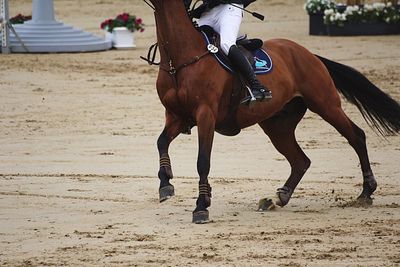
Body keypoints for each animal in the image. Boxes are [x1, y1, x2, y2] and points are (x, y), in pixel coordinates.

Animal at [148, 0, 400, 224]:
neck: (179, 60)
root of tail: (309, 54)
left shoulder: (206, 115)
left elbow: (203, 161)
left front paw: (201, 206)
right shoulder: (176, 116)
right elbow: (161, 142)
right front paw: (166, 184)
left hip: (326, 104)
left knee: (356, 136)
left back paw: (366, 191)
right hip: (277, 126)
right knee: (301, 160)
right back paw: (281, 196)